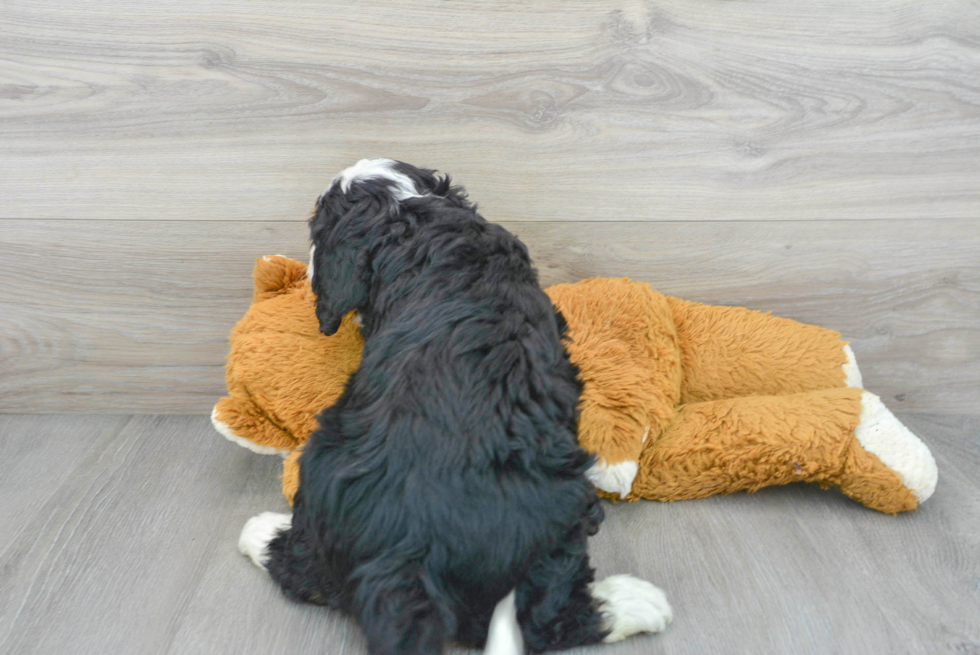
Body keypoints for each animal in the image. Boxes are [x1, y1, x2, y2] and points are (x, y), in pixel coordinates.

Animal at [240, 159, 668, 655]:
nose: (307, 269)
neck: (406, 215)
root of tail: (406, 549)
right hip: (556, 521)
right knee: (546, 620)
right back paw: (634, 601)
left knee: (304, 569)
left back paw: (259, 531)